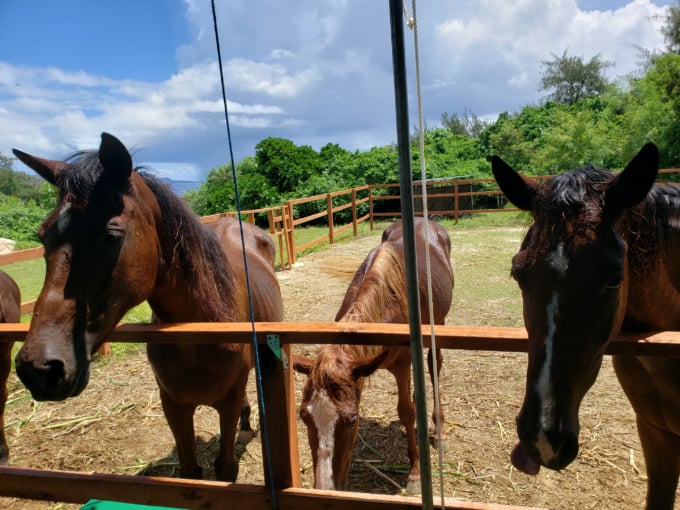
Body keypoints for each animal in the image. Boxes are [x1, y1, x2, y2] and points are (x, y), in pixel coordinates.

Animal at [12, 132, 284, 482]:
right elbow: (191, 472)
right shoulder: (174, 405)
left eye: (111, 235)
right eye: (43, 235)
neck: (201, 332)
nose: (39, 369)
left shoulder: (228, 401)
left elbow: (225, 469)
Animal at [293, 218, 454, 494]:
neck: (386, 304)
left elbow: (406, 411)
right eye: (304, 416)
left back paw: (439, 429)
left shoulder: (402, 363)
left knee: (435, 365)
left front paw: (414, 474)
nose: (325, 487)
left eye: (352, 420)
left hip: (440, 323)